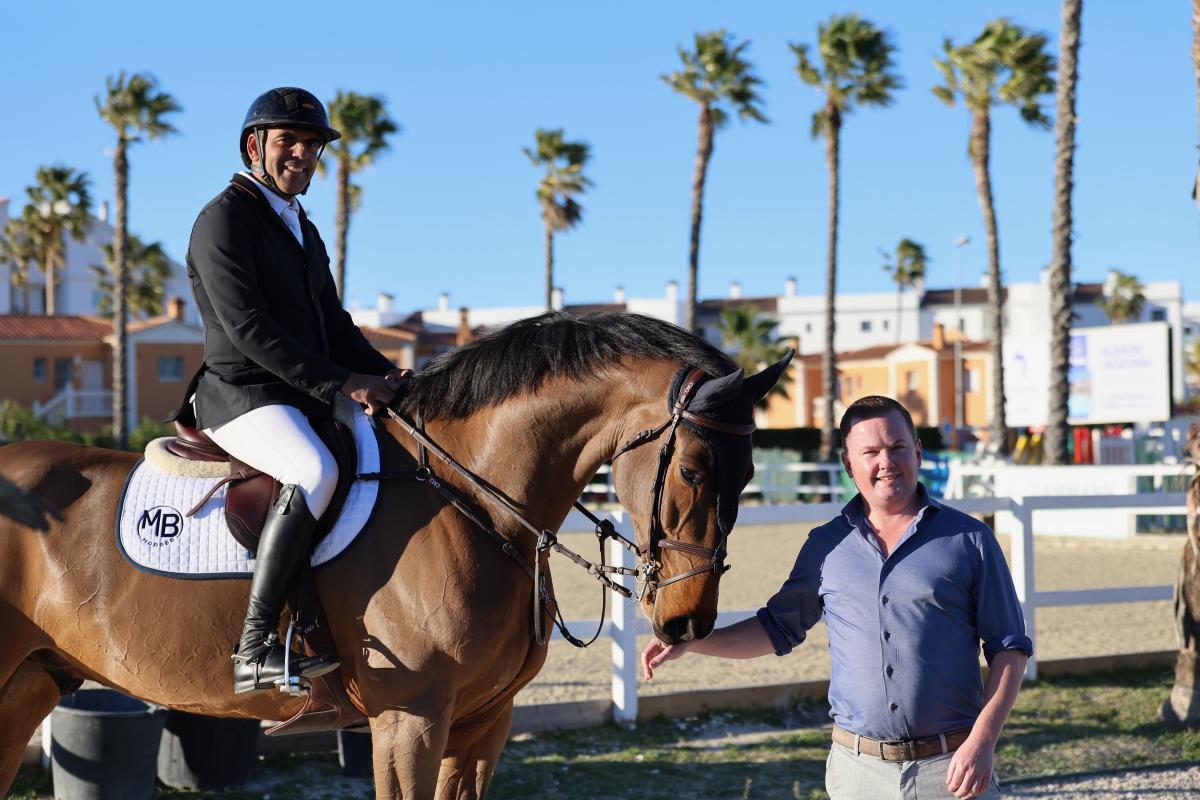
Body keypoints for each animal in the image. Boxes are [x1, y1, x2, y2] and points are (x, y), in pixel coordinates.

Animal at [0, 311, 790, 798]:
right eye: (694, 471)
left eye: (752, 471)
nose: (689, 622)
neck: (470, 498)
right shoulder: (408, 720)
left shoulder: (483, 723)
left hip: (33, 679)